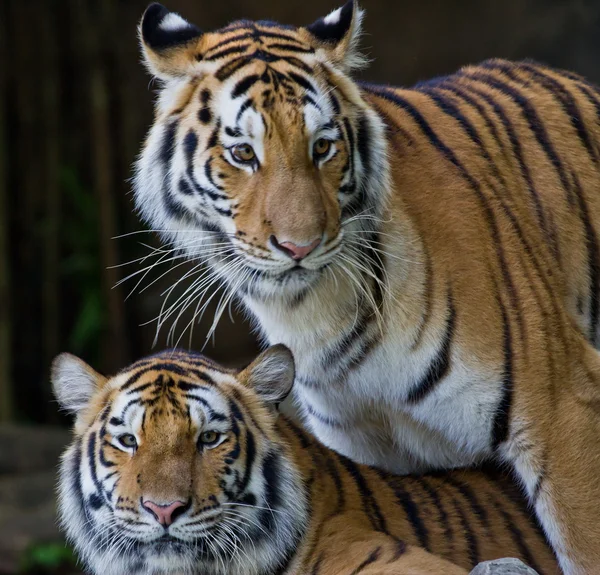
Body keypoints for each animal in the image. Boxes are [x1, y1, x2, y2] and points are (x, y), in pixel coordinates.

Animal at [132, 2, 600, 572]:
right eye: (242, 153)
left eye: (323, 147)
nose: (300, 246)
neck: (311, 309)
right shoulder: (366, 445)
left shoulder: (563, 408)